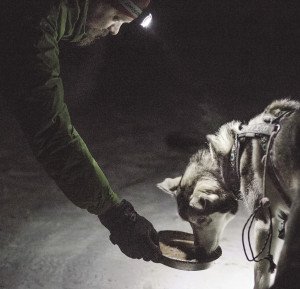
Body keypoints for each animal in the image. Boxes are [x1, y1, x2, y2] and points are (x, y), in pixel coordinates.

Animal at [158, 99, 298, 288]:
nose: (199, 253)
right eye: (188, 222)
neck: (234, 157)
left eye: (201, 220)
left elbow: (260, 275)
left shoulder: (264, 222)